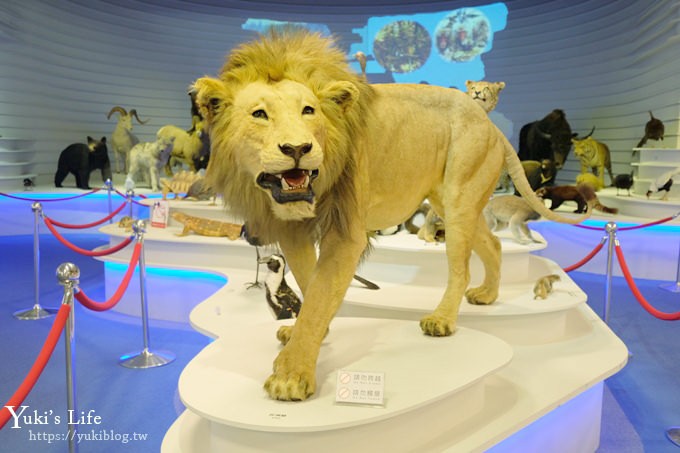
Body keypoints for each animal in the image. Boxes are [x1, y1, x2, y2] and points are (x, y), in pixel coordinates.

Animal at [193, 30, 588, 400]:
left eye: (309, 111)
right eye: (259, 114)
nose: (298, 148)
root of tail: (488, 123)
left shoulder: (346, 234)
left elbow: (319, 293)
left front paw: (291, 375)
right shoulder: (293, 231)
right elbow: (309, 281)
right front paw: (308, 332)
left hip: (460, 197)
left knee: (461, 268)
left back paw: (442, 319)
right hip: (451, 203)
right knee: (493, 243)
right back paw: (488, 294)